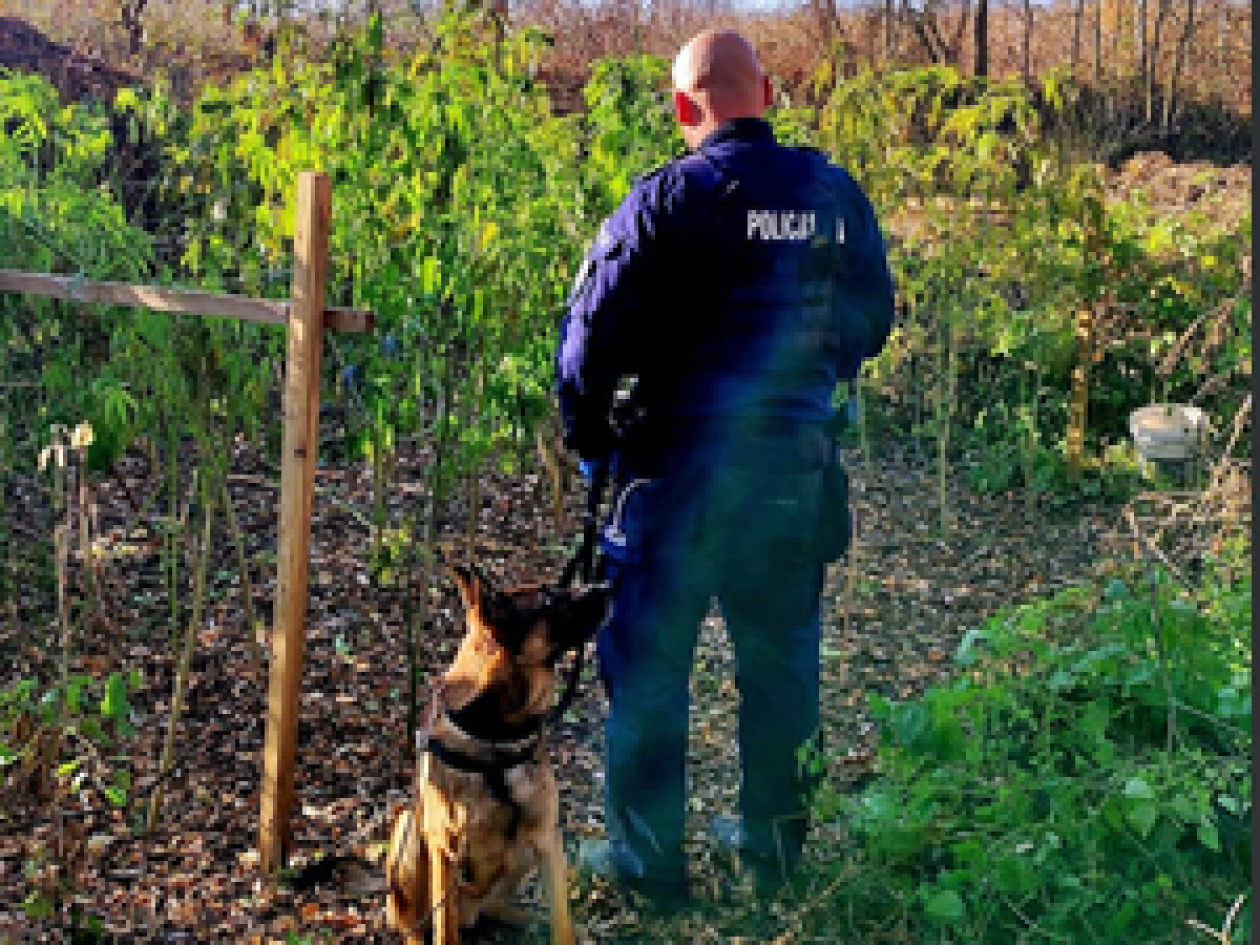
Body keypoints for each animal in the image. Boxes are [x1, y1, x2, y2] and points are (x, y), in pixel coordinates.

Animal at [385, 567, 612, 942]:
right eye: (548, 599)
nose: (609, 584)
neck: (495, 736)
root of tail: (471, 913)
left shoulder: (548, 841)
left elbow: (562, 924)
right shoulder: (445, 850)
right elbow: (444, 931)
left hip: (520, 856)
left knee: (495, 906)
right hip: (409, 834)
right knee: (415, 926)